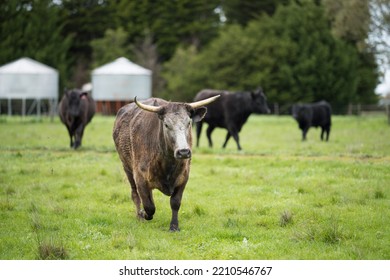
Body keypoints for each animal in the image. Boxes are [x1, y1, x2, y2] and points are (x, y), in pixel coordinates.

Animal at [112, 96, 219, 232]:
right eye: (166, 125)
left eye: (188, 123)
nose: (183, 152)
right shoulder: (140, 177)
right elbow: (149, 206)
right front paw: (143, 214)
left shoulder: (184, 177)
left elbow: (175, 202)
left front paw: (174, 226)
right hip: (127, 168)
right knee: (135, 194)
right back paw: (139, 216)